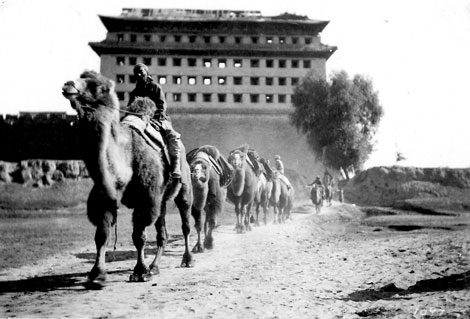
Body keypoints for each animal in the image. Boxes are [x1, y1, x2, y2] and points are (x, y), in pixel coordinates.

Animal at [62, 71, 193, 288]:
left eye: (99, 87)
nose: (68, 85)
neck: (127, 157)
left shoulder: (146, 198)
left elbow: (138, 236)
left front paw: (140, 272)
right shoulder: (106, 196)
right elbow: (102, 235)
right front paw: (96, 275)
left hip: (183, 186)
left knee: (185, 223)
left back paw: (187, 259)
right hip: (161, 200)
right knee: (162, 232)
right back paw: (155, 266)